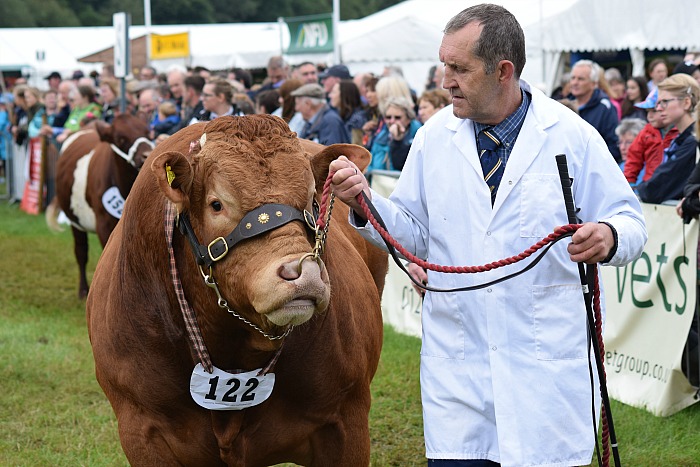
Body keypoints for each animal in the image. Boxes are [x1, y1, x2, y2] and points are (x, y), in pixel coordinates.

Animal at [46, 114, 153, 298]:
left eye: (147, 132)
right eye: (120, 138)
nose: (147, 155)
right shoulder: (104, 224)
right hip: (75, 221)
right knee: (81, 252)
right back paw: (83, 290)